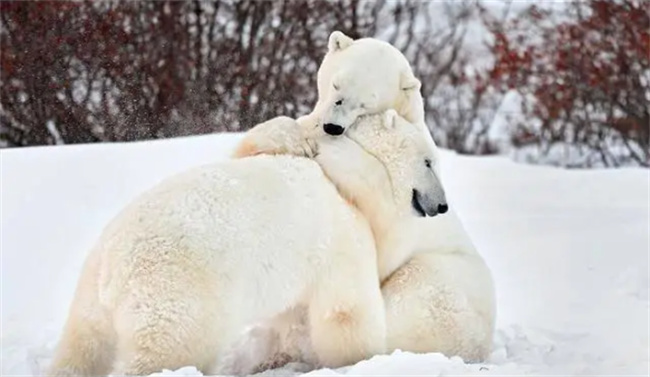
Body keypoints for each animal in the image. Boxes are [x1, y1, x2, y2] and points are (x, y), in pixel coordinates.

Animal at [46, 110, 446, 374]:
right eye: (428, 162)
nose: (442, 205)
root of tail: (114, 267)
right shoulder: (342, 238)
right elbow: (346, 311)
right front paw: (363, 360)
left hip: (89, 300)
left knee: (82, 349)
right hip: (177, 295)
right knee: (168, 351)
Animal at [235, 30, 494, 362]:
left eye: (366, 102)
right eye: (336, 85)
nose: (332, 126)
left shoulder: (401, 217)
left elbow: (381, 222)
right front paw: (296, 138)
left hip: (442, 280)